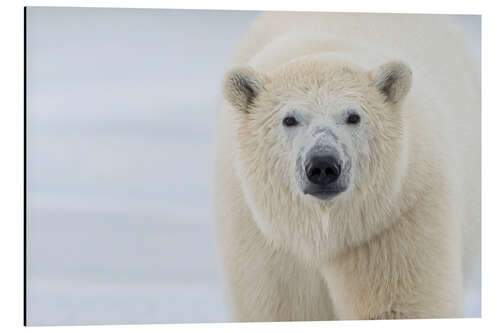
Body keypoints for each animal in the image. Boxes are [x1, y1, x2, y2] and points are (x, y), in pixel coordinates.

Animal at [212, 12, 480, 320]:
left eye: (354, 116)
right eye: (289, 119)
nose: (323, 166)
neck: (323, 233)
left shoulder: (394, 219)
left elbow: (399, 306)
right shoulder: (264, 240)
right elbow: (280, 308)